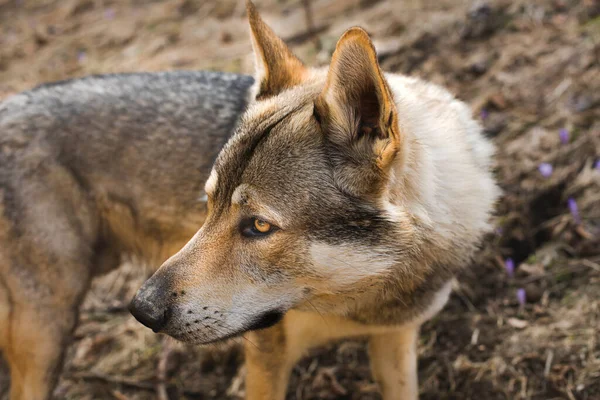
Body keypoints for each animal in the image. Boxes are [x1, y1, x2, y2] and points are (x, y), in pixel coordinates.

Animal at [130, 1, 502, 398]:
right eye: (209, 202)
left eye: (259, 225)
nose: (142, 309)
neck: (357, 304)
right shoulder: (266, 359)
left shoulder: (395, 340)